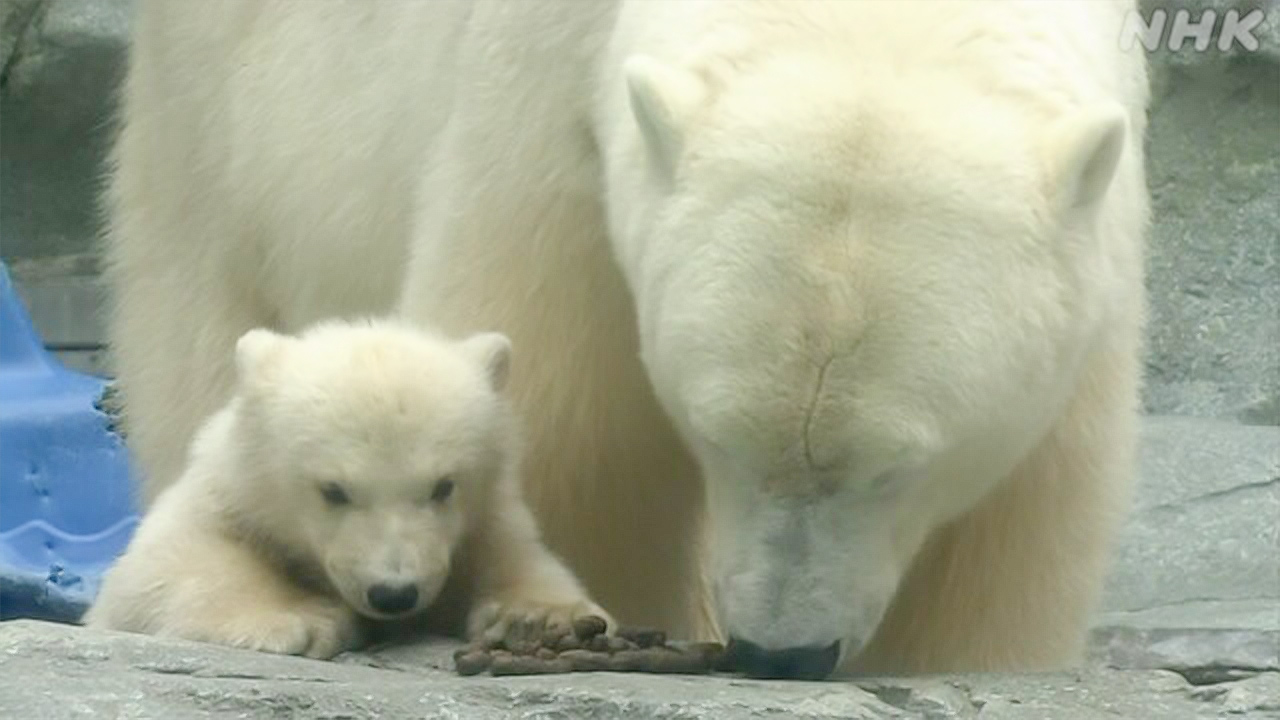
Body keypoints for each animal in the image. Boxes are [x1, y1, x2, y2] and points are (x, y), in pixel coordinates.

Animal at [83, 319, 611, 658]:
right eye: (333, 490)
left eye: (444, 486)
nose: (394, 593)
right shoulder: (223, 497)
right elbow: (161, 568)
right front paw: (293, 621)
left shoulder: (485, 519)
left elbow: (516, 556)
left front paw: (540, 619)